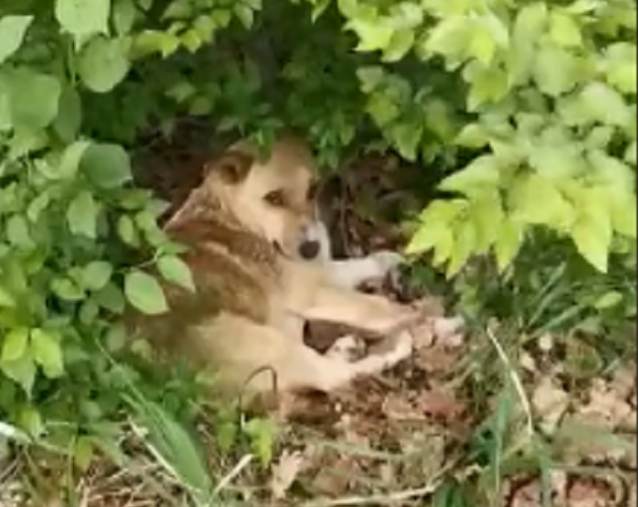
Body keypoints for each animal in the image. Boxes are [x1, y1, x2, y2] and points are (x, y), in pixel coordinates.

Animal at [130, 135, 462, 404]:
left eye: (313, 189)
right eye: (273, 198)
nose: (310, 247)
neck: (233, 215)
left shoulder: (321, 273)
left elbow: (358, 265)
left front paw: (390, 261)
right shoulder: (313, 293)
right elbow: (381, 308)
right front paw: (432, 318)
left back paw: (346, 346)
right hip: (269, 345)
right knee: (332, 377)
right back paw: (391, 349)